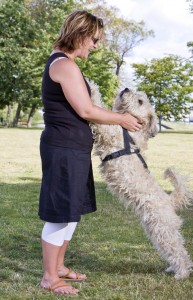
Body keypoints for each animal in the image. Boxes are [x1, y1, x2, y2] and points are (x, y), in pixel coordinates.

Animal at [89, 80, 193, 282]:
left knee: (180, 252)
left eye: (139, 101)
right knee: (171, 251)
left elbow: (98, 106)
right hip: (155, 231)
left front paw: (91, 86)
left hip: (163, 229)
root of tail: (169, 201)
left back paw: (182, 274)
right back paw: (172, 268)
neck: (130, 131)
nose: (126, 89)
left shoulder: (109, 131)